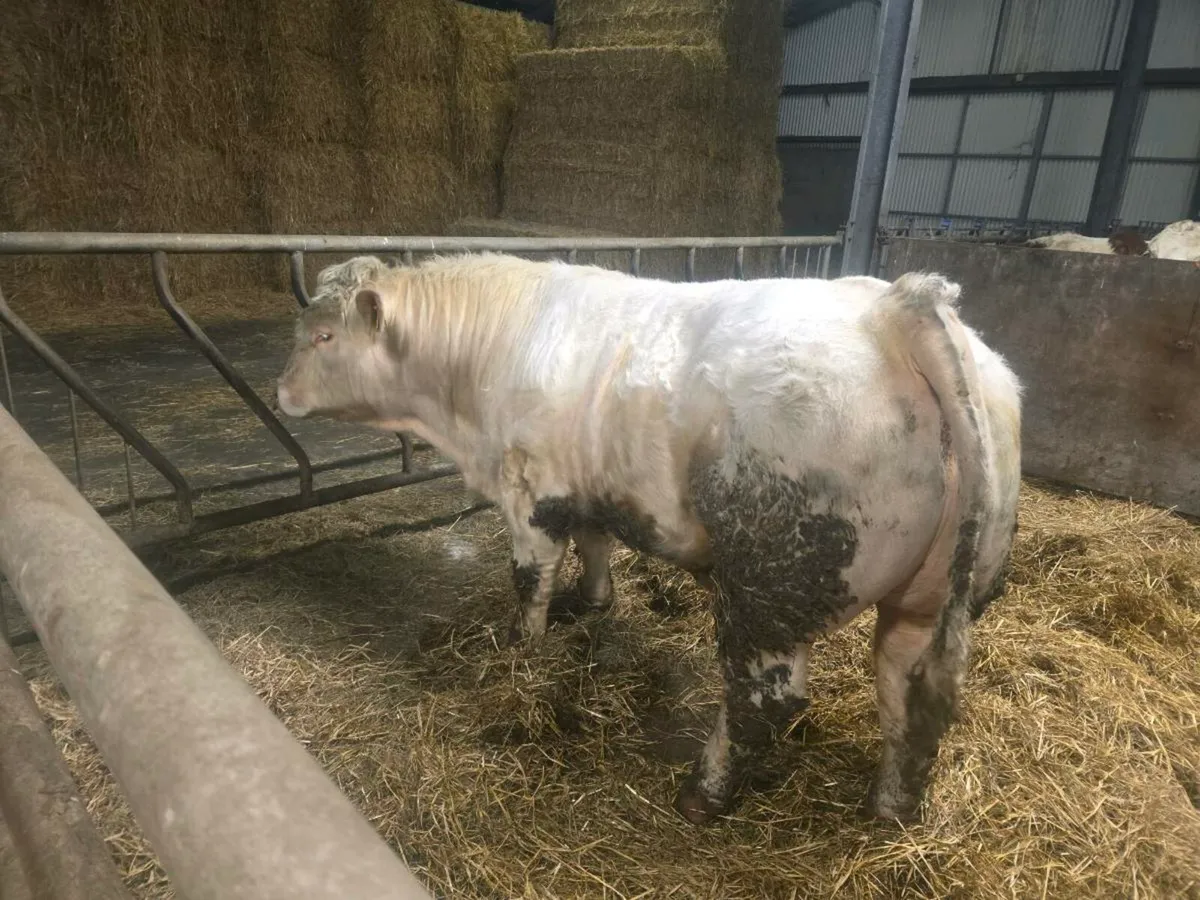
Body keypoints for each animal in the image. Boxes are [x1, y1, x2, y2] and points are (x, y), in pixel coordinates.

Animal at [275, 253, 1023, 825]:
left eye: (324, 338)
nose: (279, 391)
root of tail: (897, 306)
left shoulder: (532, 489)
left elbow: (531, 576)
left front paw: (522, 646)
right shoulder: (590, 482)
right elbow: (596, 544)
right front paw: (593, 604)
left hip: (770, 593)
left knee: (764, 700)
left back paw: (704, 793)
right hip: (928, 598)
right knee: (907, 697)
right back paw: (891, 807)